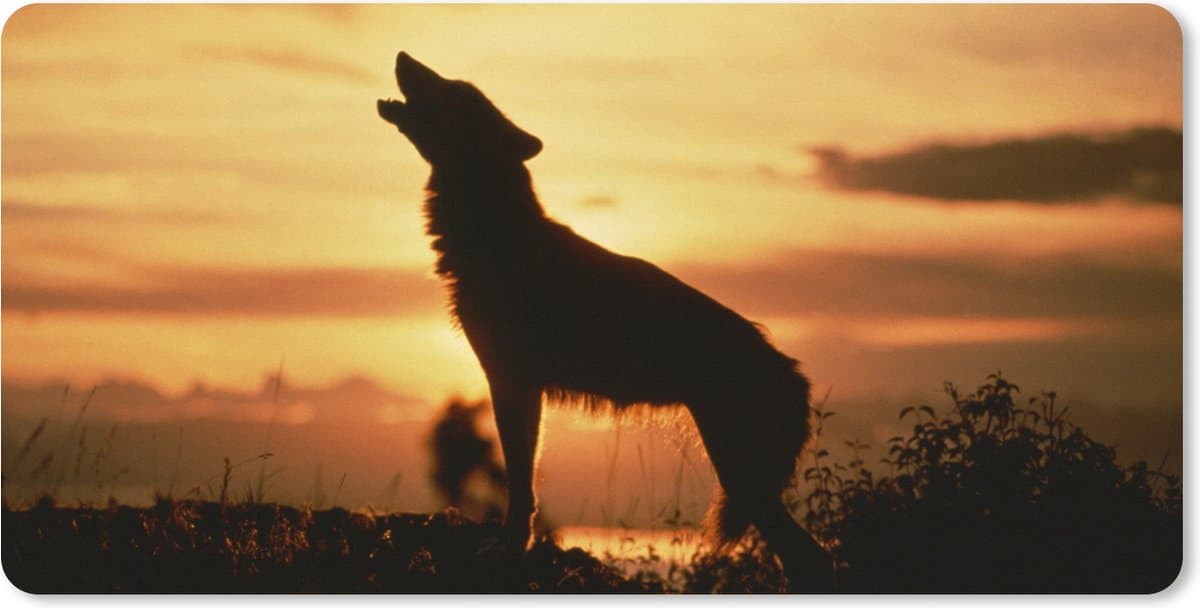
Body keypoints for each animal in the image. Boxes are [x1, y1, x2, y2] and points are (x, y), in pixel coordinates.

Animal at [378, 52, 832, 590]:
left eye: (454, 90)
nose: (403, 56)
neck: (495, 234)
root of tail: (792, 371)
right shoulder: (522, 387)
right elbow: (526, 486)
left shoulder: (510, 382)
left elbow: (519, 488)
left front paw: (508, 553)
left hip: (738, 474)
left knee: (811, 556)